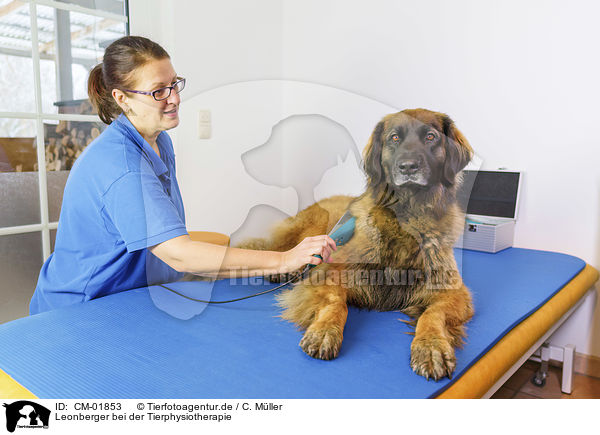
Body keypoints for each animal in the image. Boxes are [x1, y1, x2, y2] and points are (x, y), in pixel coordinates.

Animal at [237, 109, 476, 382]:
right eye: (394, 138)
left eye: (430, 137)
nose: (407, 167)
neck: (404, 219)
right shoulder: (329, 273)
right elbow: (336, 301)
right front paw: (325, 331)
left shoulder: (453, 292)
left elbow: (432, 314)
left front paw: (432, 346)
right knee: (281, 250)